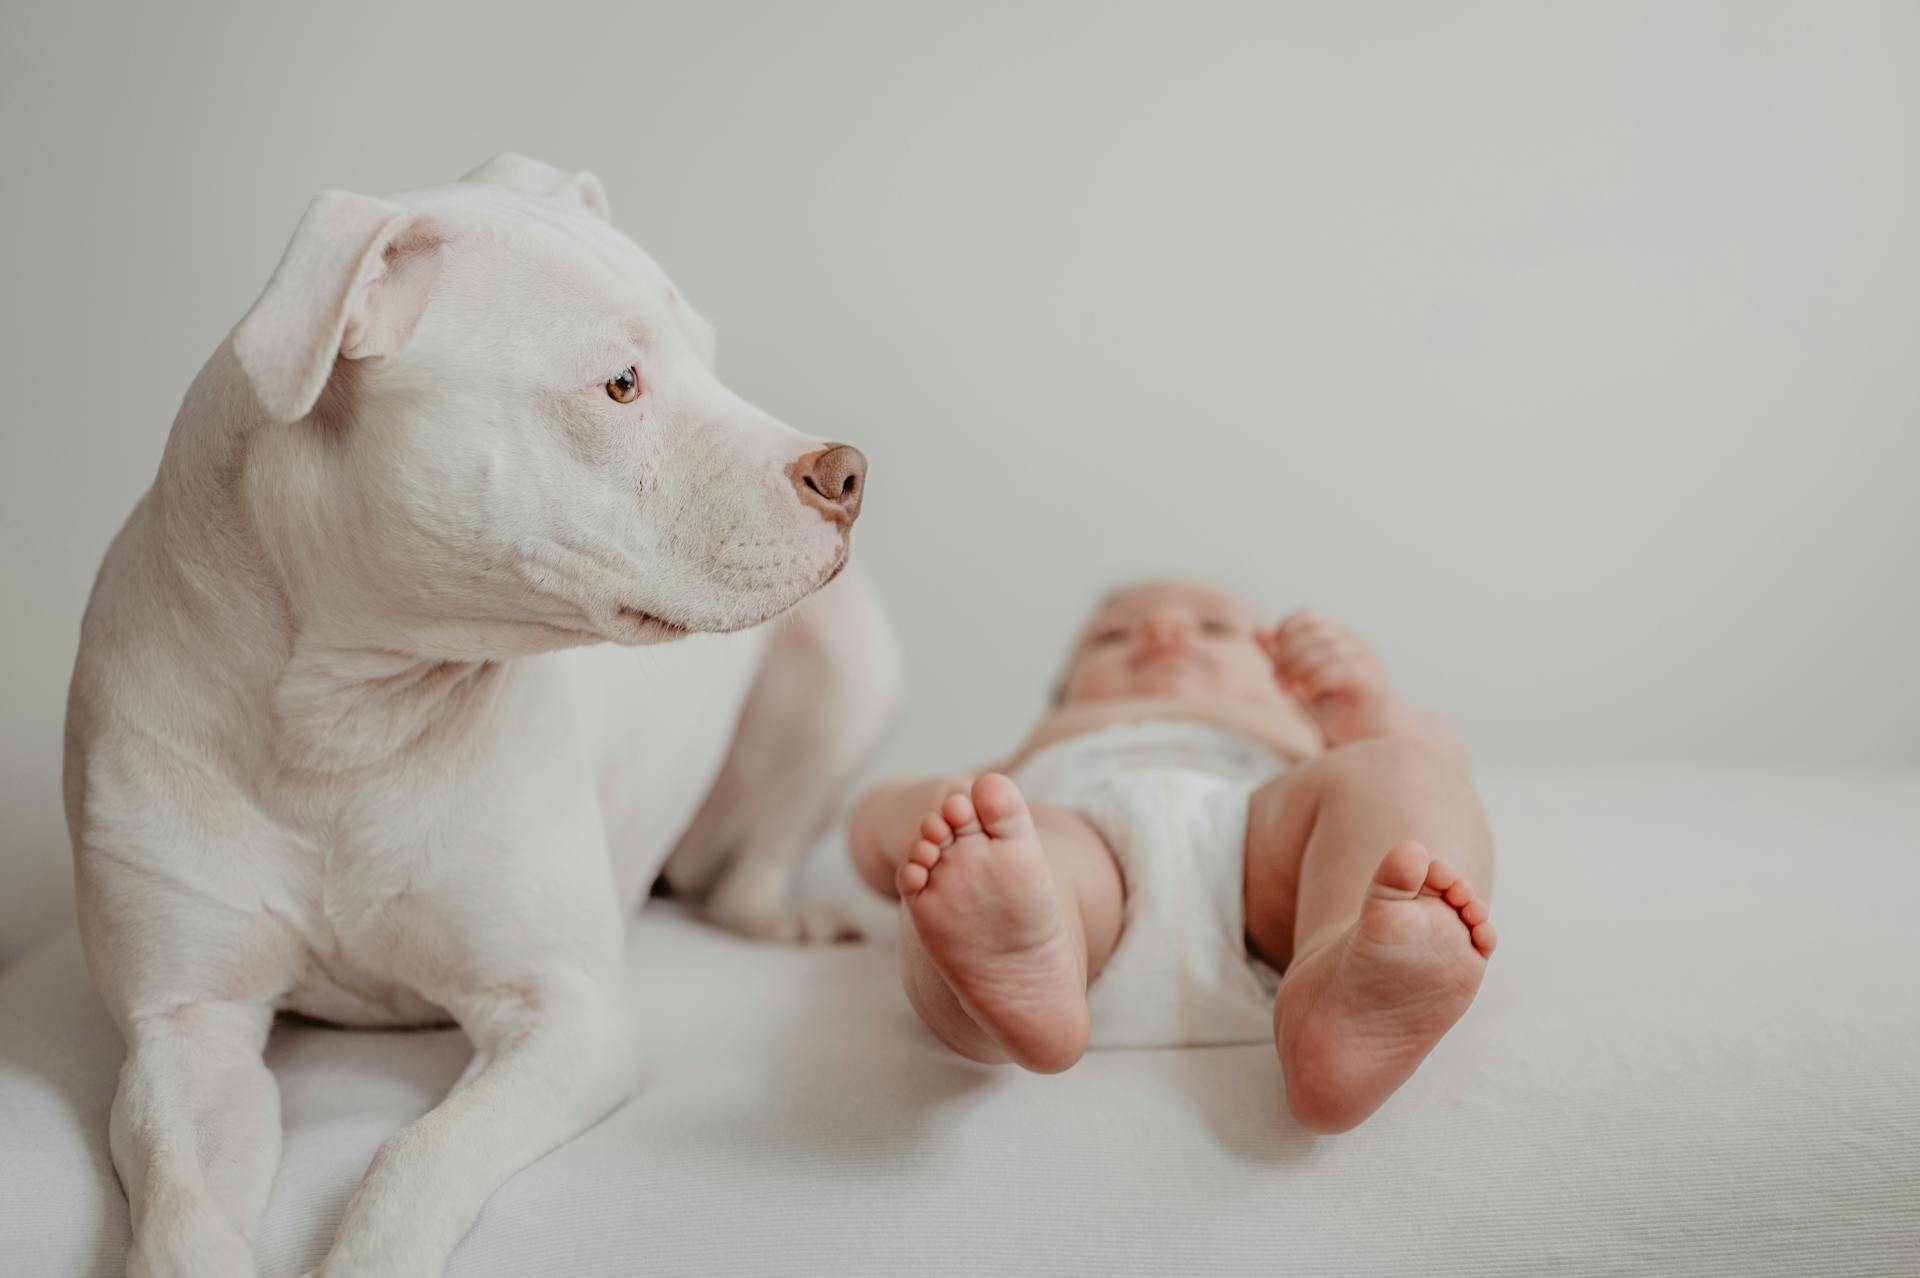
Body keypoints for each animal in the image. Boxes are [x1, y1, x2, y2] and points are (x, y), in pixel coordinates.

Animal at [61, 156, 898, 1274]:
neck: (345, 716)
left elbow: (417, 1154)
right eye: (621, 384)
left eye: (711, 359)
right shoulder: (185, 1030)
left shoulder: (566, 1016)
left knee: (747, 871)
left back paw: (780, 915)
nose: (847, 473)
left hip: (854, 673)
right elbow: (182, 1214)